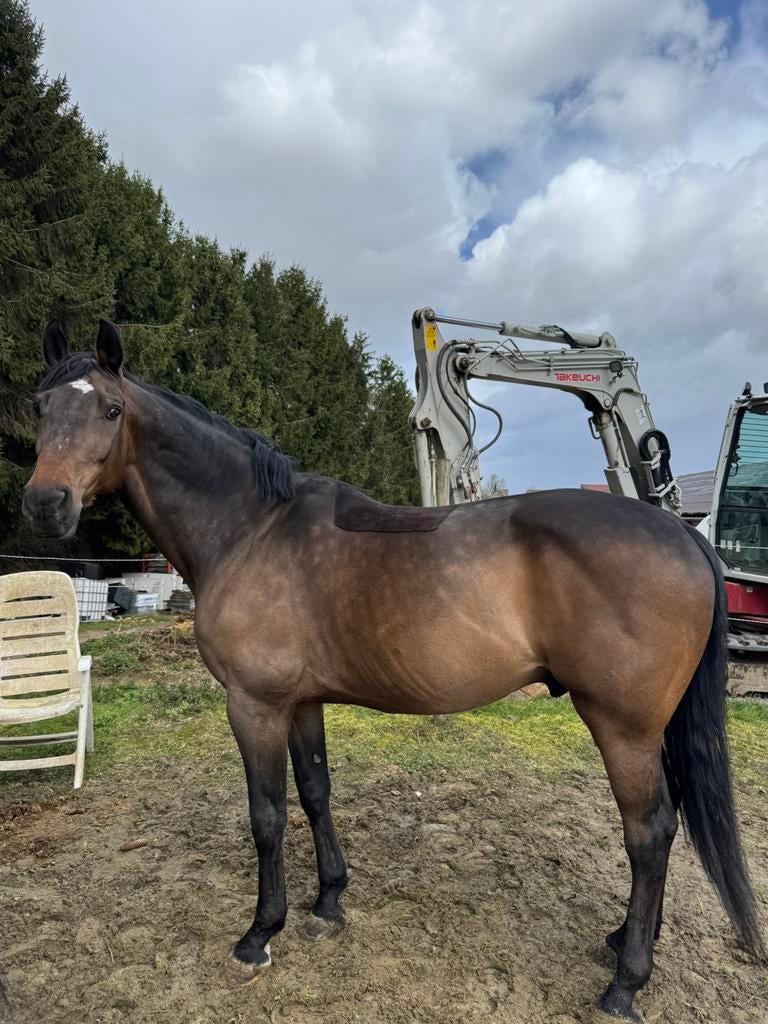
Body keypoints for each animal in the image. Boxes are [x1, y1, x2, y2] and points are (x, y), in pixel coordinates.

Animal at [21, 320, 763, 1022]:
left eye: (112, 409)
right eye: (40, 405)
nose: (45, 504)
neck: (251, 528)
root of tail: (684, 534)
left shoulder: (254, 704)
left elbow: (267, 815)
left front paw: (261, 932)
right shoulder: (301, 703)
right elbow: (315, 793)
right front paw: (328, 901)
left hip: (622, 727)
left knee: (650, 832)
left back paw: (625, 982)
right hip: (648, 730)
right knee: (666, 827)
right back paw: (624, 940)